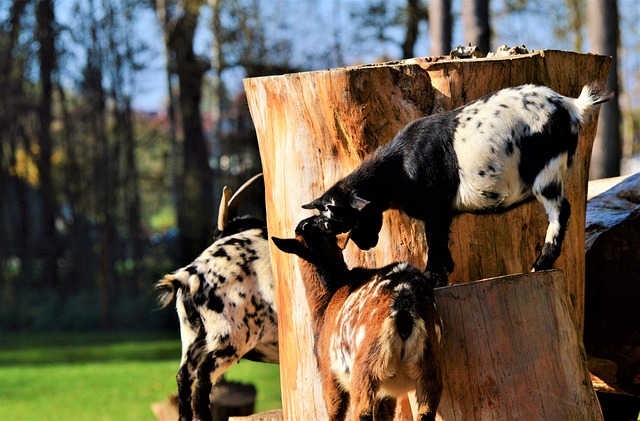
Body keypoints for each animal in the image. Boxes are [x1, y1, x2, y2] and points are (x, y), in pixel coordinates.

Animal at [272, 215, 442, 418]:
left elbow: (335, 413)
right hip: (428, 369)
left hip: (365, 369)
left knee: (362, 412)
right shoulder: (387, 393)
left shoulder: (329, 373)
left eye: (302, 227)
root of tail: (404, 313)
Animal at [304, 83, 616, 286]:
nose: (365, 244)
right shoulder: (442, 213)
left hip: (546, 172)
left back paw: (540, 264)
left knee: (560, 210)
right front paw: (443, 274)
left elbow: (434, 242)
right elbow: (442, 242)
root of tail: (572, 106)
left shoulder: (435, 209)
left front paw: (430, 278)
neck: (399, 167)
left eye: (342, 220)